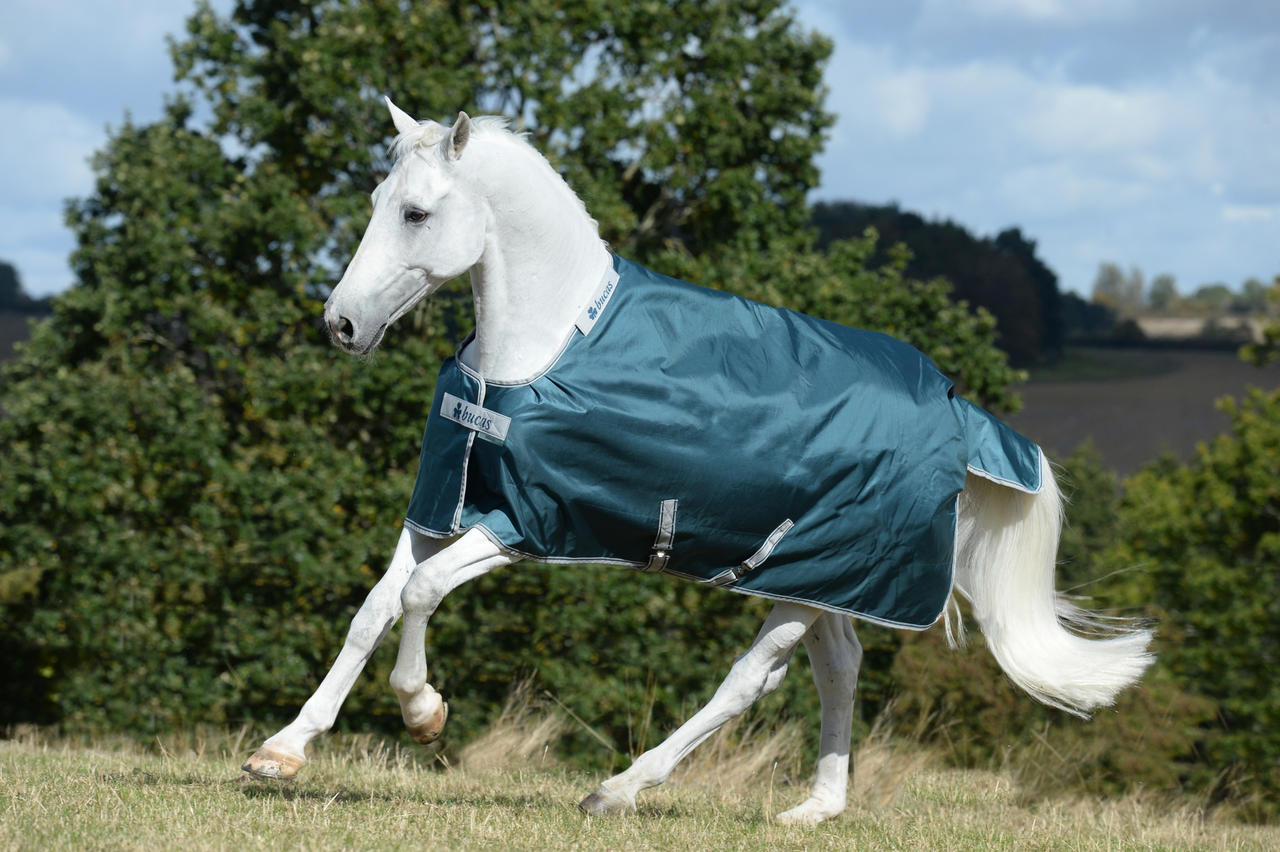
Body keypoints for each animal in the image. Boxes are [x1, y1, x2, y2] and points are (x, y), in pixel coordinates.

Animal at [242, 99, 1154, 824]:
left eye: (417, 213)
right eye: (375, 202)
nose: (341, 324)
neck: (539, 349)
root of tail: (957, 412)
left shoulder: (522, 524)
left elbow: (422, 594)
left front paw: (425, 713)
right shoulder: (443, 504)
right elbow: (373, 609)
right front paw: (281, 752)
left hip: (806, 577)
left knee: (750, 681)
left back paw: (619, 790)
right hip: (822, 580)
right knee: (839, 669)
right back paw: (814, 810)